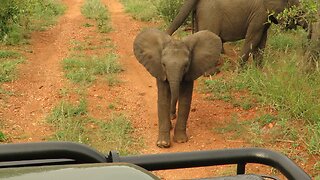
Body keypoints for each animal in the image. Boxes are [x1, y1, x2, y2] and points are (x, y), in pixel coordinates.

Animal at [166, 0, 304, 67]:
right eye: (298, 11)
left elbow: (262, 40)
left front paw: (258, 70)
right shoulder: (259, 14)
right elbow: (254, 38)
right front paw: (240, 71)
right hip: (210, 15)